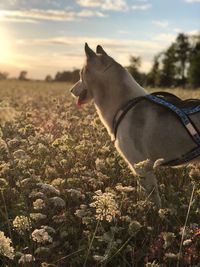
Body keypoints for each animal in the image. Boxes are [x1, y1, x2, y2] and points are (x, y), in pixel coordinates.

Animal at [70, 43, 200, 208]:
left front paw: (150, 213)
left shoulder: (142, 167)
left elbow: (152, 201)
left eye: (80, 74)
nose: (71, 90)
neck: (125, 104)